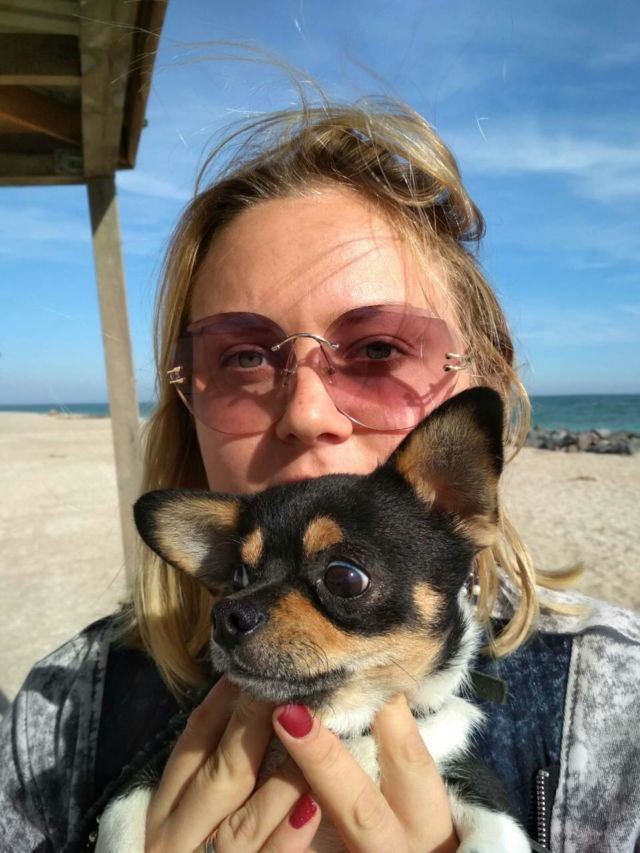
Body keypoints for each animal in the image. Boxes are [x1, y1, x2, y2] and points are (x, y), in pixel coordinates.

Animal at [95, 387, 531, 852]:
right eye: (239, 577)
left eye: (344, 578)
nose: (226, 614)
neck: (346, 728)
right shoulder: (142, 773)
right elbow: (117, 825)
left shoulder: (479, 790)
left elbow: (491, 838)